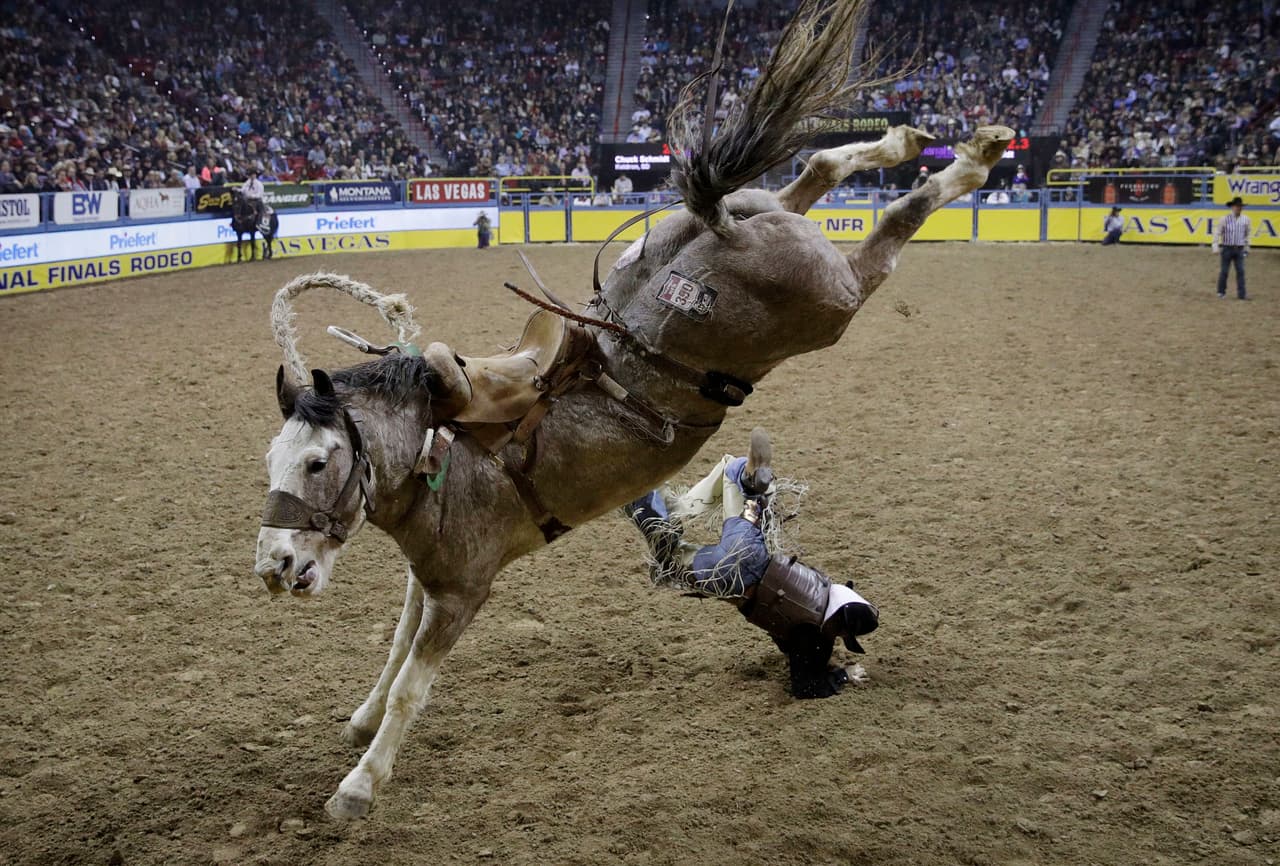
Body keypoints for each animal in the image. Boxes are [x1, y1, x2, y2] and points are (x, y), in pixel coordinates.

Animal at [254, 0, 1014, 820]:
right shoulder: (425, 583)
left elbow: (412, 687)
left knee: (894, 226)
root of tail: (717, 230)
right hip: (757, 225)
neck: (439, 457)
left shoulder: (462, 591)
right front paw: (360, 723)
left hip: (832, 301)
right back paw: (909, 144)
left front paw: (360, 784)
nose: (274, 565)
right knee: (805, 178)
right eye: (269, 461)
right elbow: (394, 654)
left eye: (318, 460)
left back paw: (968, 160)